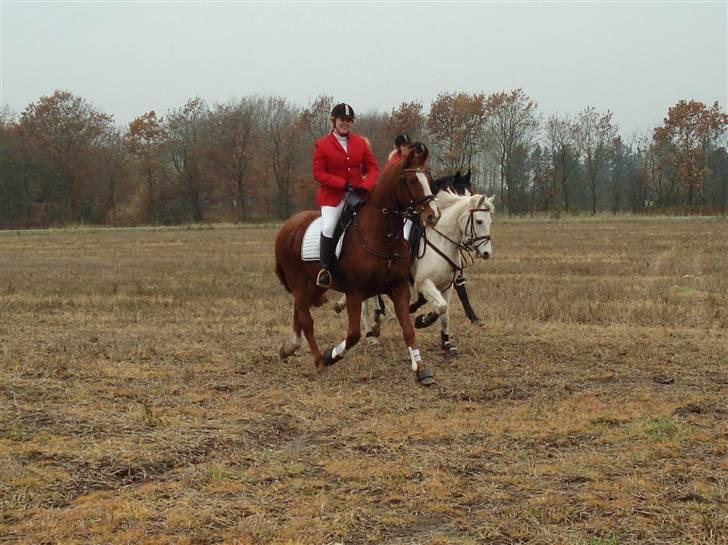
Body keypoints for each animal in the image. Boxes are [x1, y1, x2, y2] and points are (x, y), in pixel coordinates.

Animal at [276, 150, 440, 382]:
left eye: (429, 178)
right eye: (411, 181)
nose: (433, 215)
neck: (384, 236)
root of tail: (287, 227)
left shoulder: (399, 288)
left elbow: (408, 329)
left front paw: (421, 368)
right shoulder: (355, 292)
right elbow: (354, 334)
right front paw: (330, 355)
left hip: (314, 285)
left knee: (300, 311)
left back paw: (289, 348)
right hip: (298, 282)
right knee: (306, 319)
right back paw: (319, 361)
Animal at [336, 191, 494, 352]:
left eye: (490, 222)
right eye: (479, 221)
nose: (486, 253)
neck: (441, 241)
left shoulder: (446, 287)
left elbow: (444, 312)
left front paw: (446, 342)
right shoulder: (424, 283)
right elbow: (440, 307)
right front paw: (421, 320)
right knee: (365, 305)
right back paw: (370, 333)